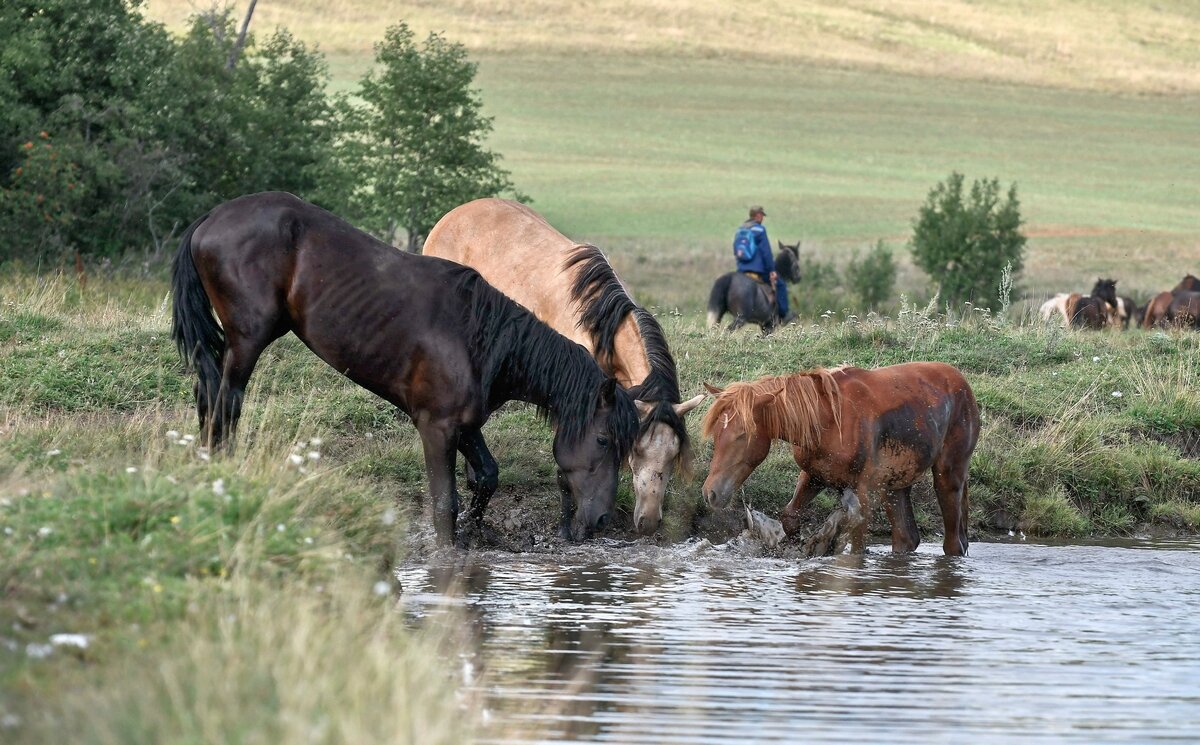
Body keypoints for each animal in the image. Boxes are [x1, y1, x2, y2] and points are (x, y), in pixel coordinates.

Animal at [170, 190, 643, 547]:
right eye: (604, 440)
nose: (602, 520)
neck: (481, 340)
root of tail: (212, 217)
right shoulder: (436, 428)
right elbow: (444, 504)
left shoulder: (464, 425)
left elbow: (486, 478)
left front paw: (476, 533)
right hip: (248, 339)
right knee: (225, 403)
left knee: (207, 394)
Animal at [422, 197, 700, 535]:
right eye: (637, 450)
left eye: (674, 455)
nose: (648, 522)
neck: (597, 322)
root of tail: (453, 215)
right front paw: (569, 529)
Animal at [700, 362, 974, 554]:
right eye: (716, 433)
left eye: (741, 435)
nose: (710, 493)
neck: (829, 420)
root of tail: (962, 382)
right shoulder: (814, 475)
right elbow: (790, 517)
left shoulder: (865, 490)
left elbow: (856, 545)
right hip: (896, 486)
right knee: (905, 538)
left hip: (948, 477)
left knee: (953, 543)